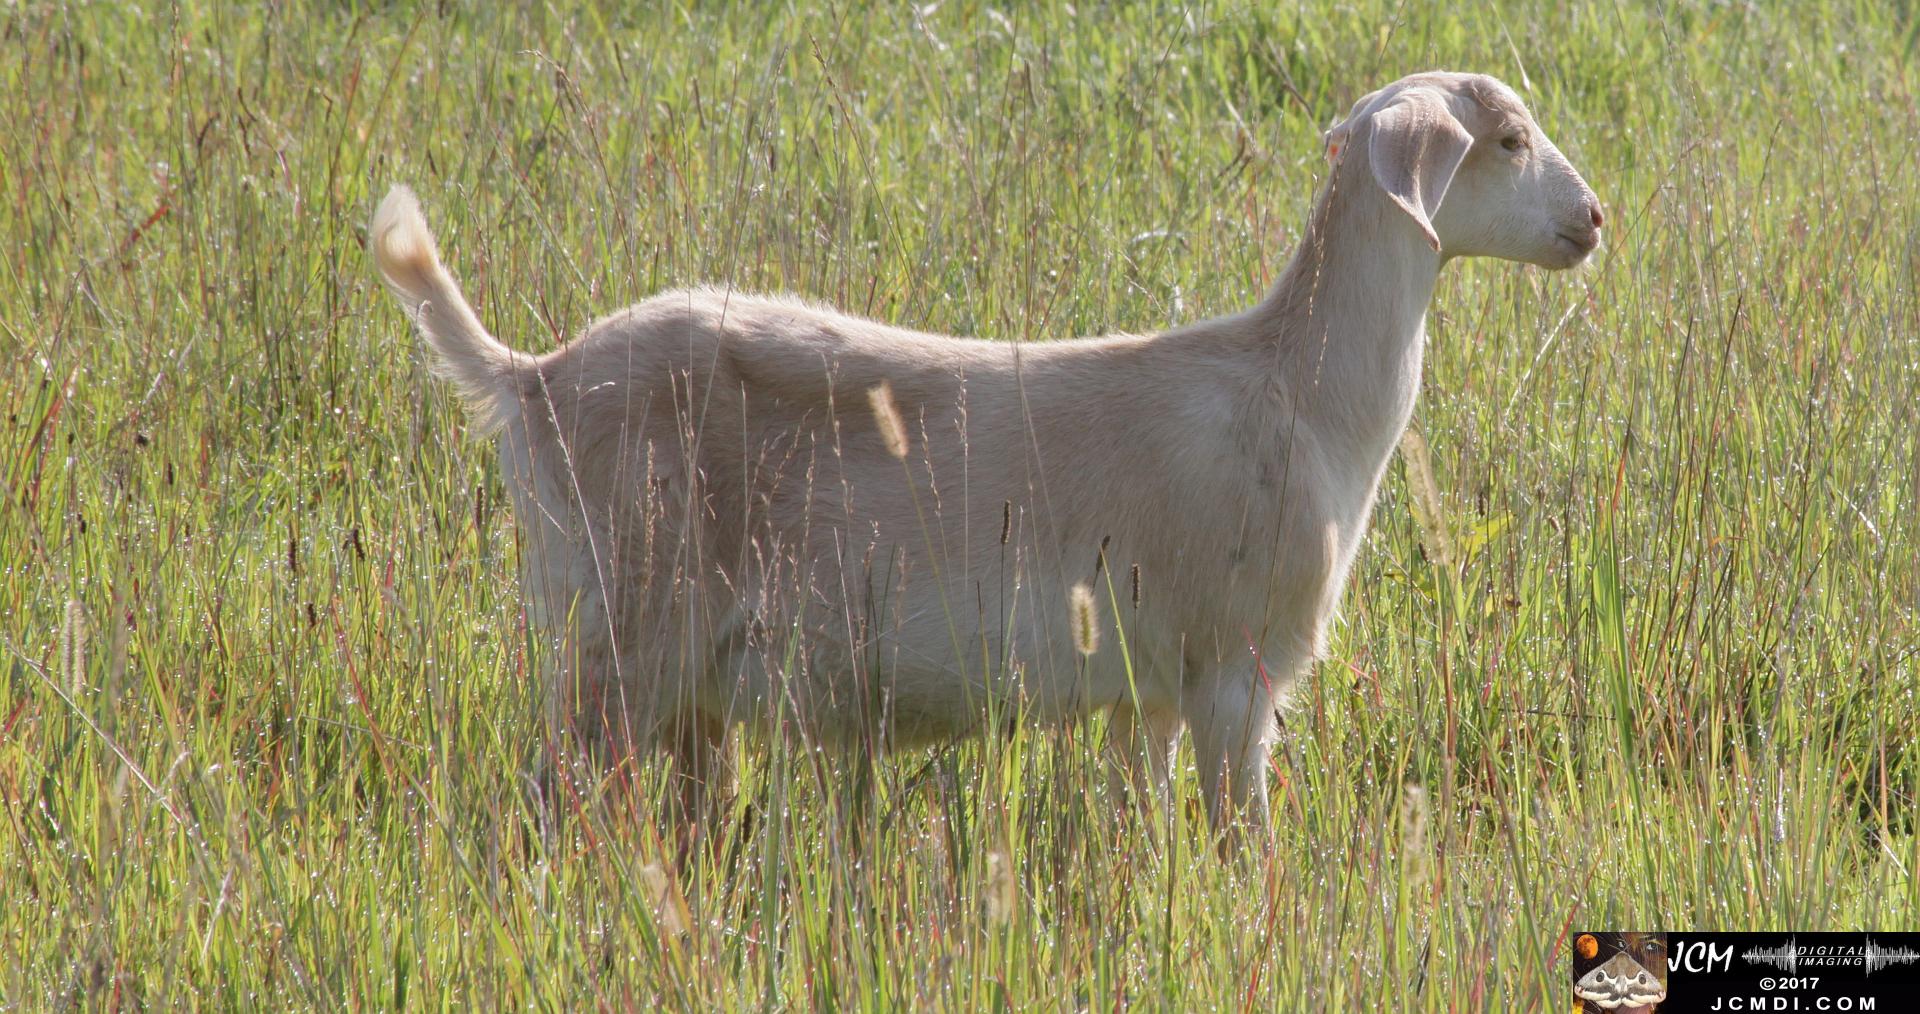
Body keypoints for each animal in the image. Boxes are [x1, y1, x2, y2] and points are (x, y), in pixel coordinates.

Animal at [370, 71, 1602, 837]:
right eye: (1507, 141)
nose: (1593, 220)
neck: (1299, 392)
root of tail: (529, 377)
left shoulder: (1148, 687)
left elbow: (1143, 824)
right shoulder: (1237, 667)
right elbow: (1238, 841)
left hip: (672, 682)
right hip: (618, 631)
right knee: (544, 804)